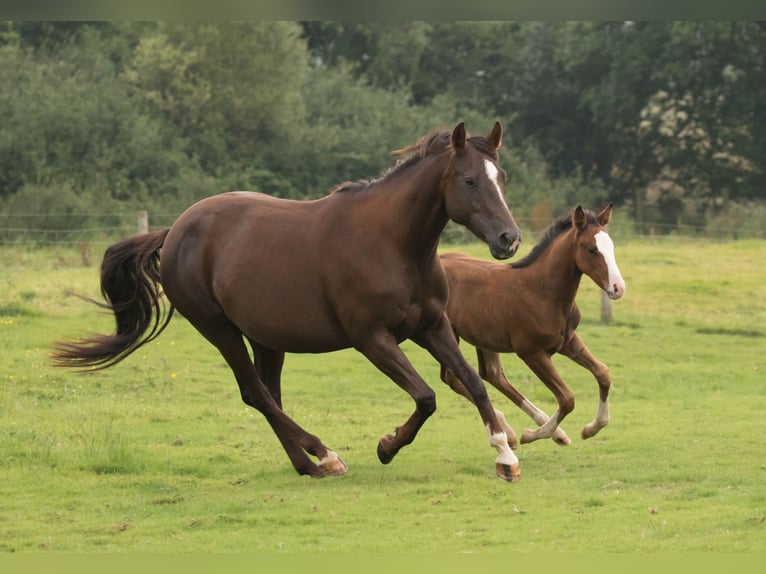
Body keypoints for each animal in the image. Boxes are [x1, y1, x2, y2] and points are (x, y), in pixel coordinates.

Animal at [51, 122, 526, 481]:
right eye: (469, 180)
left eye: (501, 178)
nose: (510, 239)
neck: (395, 244)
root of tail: (175, 230)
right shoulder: (372, 339)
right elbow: (426, 396)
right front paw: (387, 445)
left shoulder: (432, 327)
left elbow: (474, 383)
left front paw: (505, 455)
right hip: (220, 330)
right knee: (256, 394)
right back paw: (325, 454)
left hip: (266, 338)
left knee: (269, 394)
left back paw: (308, 463)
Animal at [439, 204, 625, 449]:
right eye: (591, 249)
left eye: (611, 246)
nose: (618, 288)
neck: (542, 291)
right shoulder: (531, 352)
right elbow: (567, 399)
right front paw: (531, 434)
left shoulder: (568, 341)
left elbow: (603, 373)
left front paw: (590, 429)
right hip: (448, 334)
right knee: (454, 378)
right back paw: (515, 431)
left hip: (483, 337)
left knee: (491, 374)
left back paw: (518, 431)